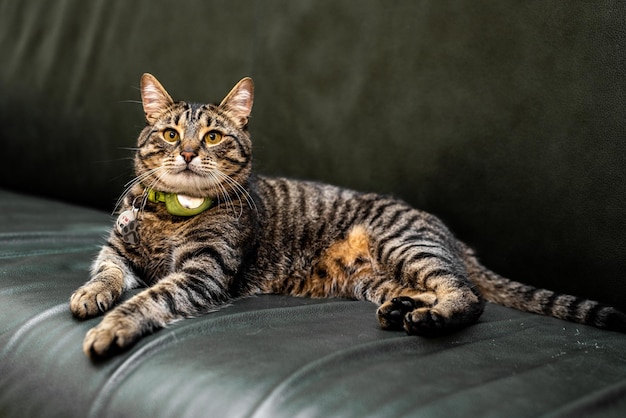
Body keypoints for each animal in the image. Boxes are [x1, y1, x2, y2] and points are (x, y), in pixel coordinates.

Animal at [69, 74, 624, 360]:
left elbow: (150, 297)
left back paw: (431, 318)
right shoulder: (116, 249)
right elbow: (108, 271)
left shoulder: (202, 273)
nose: (185, 152)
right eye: (169, 134)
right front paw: (91, 295)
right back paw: (406, 310)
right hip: (377, 277)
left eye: (212, 137)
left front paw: (112, 326)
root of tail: (448, 233)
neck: (173, 215)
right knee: (438, 288)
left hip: (404, 244)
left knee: (467, 294)